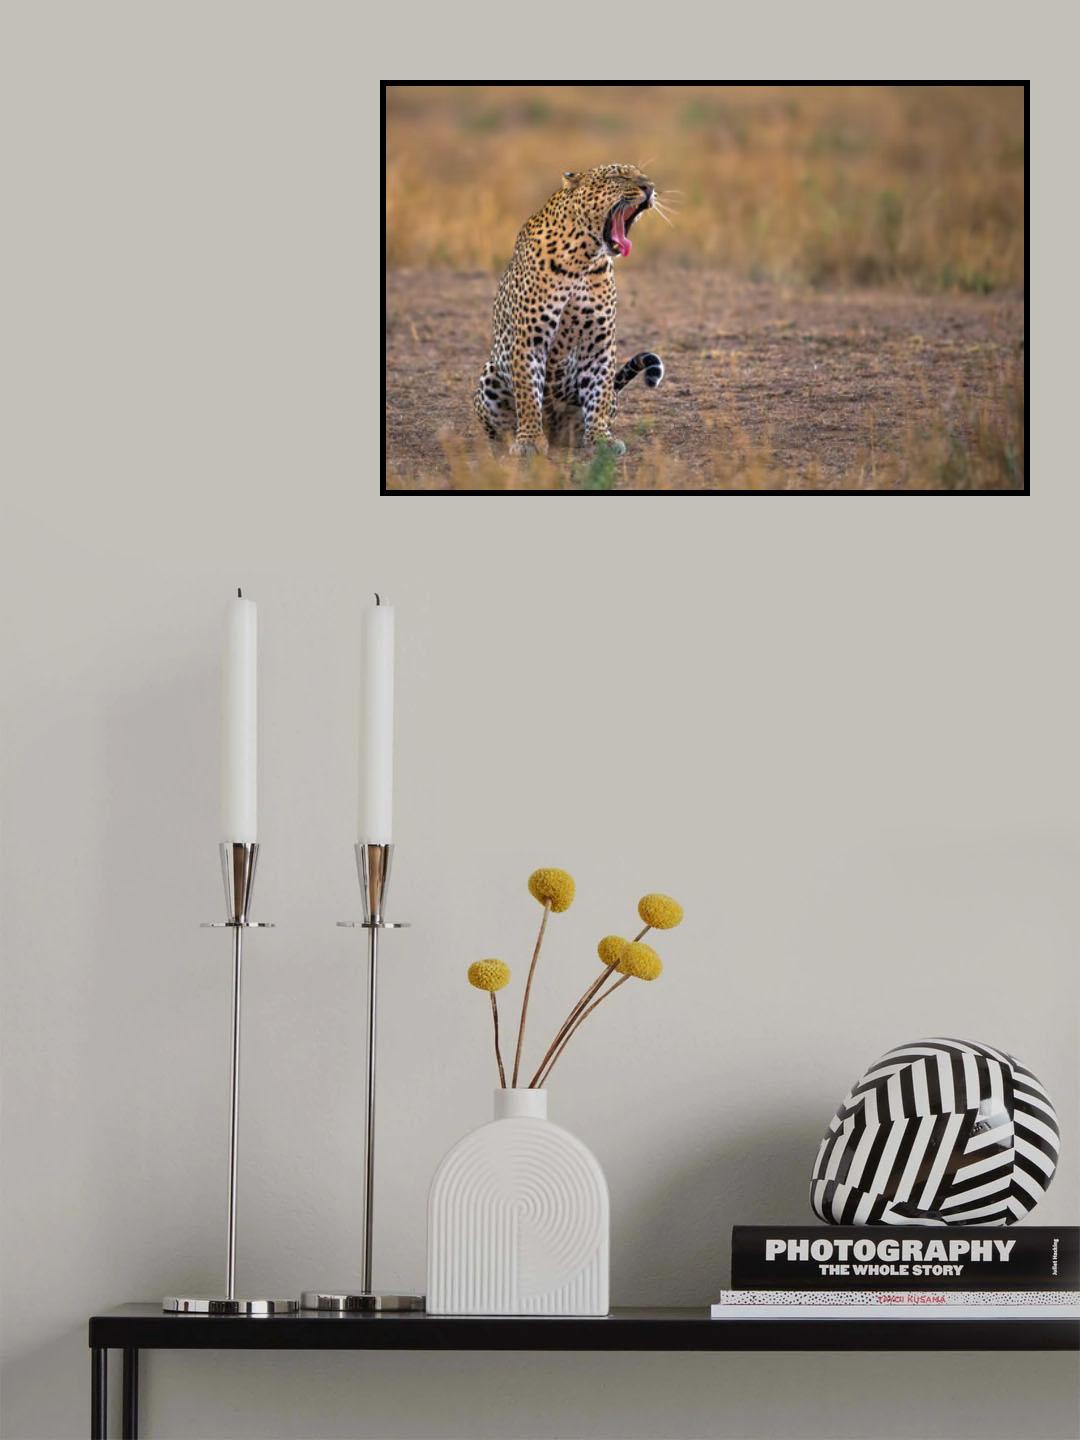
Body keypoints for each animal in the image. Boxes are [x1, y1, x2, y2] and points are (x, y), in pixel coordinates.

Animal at [474, 163, 664, 458]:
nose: (650, 187)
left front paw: (600, 438)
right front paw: (529, 440)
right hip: (490, 374)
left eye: (644, 176)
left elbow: (598, 392)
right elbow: (528, 393)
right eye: (618, 176)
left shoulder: (598, 342)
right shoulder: (530, 340)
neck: (584, 258)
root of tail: (554, 430)